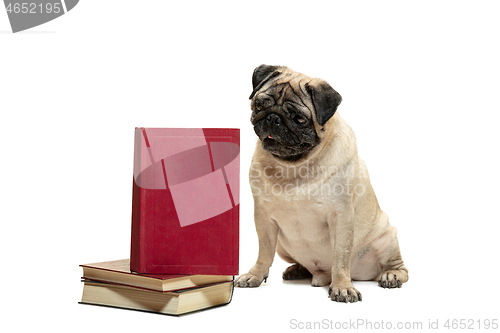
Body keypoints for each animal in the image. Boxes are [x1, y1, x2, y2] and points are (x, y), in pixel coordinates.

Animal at [236, 64, 408, 300]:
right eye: (260, 105)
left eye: (299, 119)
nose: (273, 117)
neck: (293, 167)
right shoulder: (263, 217)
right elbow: (264, 252)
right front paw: (255, 275)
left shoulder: (341, 217)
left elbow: (340, 257)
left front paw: (342, 286)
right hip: (282, 246)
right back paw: (298, 269)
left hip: (387, 238)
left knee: (399, 267)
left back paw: (391, 275)